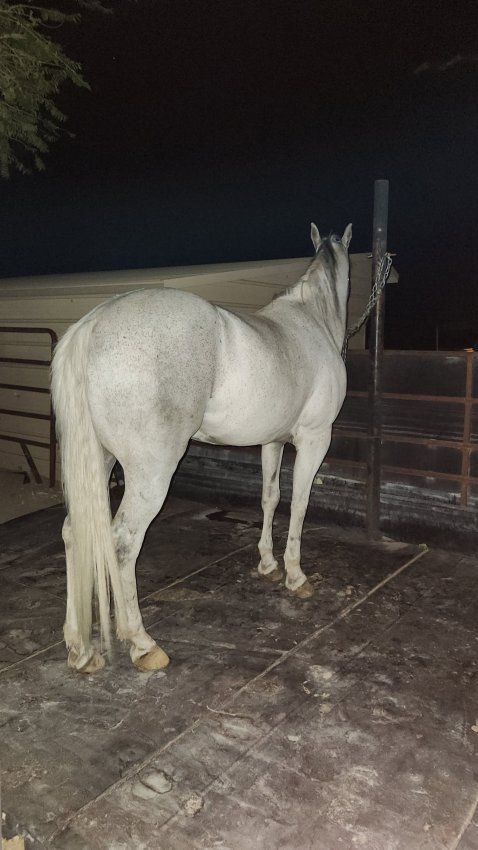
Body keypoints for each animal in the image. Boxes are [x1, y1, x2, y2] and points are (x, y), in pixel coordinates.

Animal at [51, 223, 352, 674]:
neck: (311, 320)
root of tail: (95, 323)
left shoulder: (272, 441)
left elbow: (270, 498)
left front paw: (267, 563)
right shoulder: (315, 439)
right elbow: (299, 503)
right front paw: (296, 575)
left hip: (99, 462)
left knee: (74, 533)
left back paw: (80, 649)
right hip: (151, 474)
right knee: (122, 543)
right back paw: (142, 644)